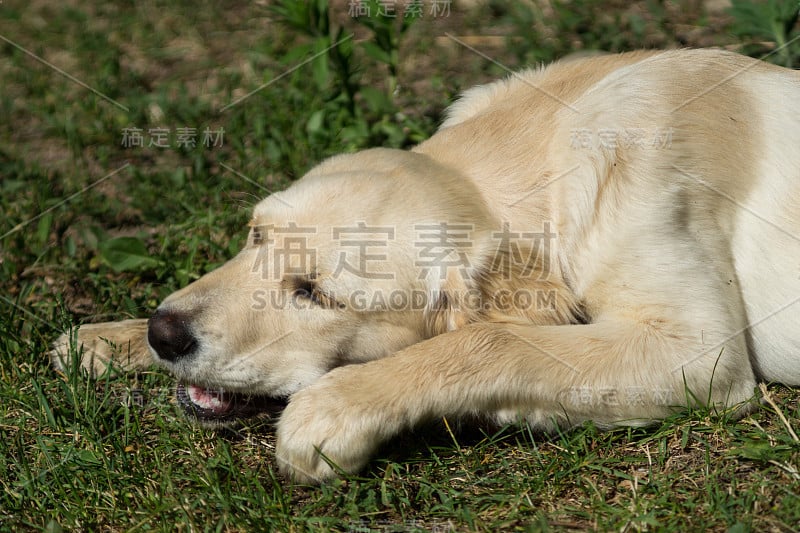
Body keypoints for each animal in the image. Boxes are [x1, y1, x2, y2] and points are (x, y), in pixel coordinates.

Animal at [53, 50, 800, 482]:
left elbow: (488, 341)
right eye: (255, 235)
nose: (165, 335)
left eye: (317, 294)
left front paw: (335, 409)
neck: (546, 142)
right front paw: (106, 339)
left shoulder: (699, 350)